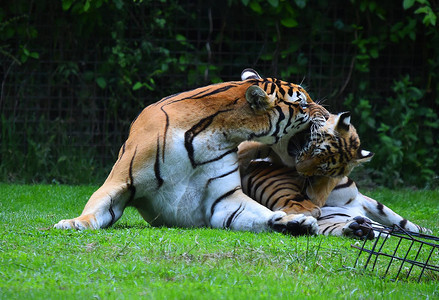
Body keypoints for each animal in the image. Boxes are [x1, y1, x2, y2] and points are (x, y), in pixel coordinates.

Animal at [53, 68, 330, 234]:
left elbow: (257, 213)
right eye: (303, 105)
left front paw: (293, 221)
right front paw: (73, 222)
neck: (220, 132)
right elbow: (96, 208)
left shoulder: (223, 200)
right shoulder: (119, 182)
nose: (328, 116)